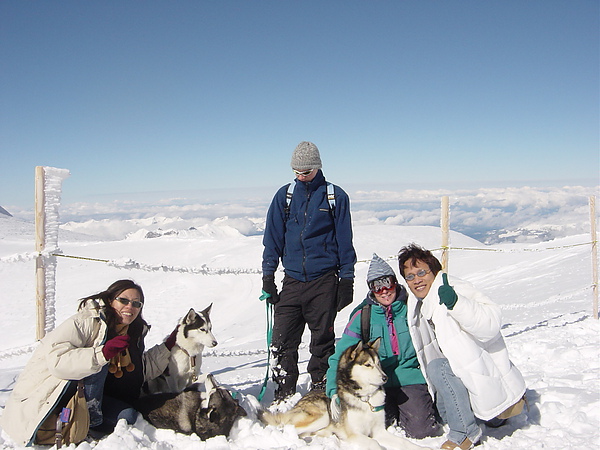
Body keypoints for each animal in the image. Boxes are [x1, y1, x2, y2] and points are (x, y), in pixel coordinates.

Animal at [258, 340, 432, 448]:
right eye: (368, 365)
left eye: (378, 364)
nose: (385, 377)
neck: (366, 399)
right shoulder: (355, 434)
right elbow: (375, 444)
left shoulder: (379, 431)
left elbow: (405, 443)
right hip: (323, 415)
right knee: (287, 428)